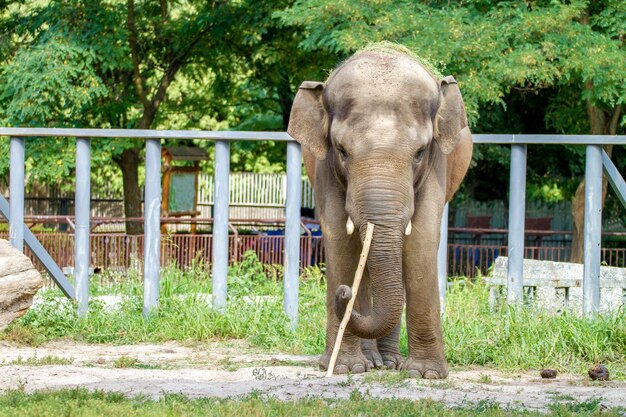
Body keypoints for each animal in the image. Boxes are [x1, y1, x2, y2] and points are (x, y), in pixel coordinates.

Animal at [286, 44, 470, 376]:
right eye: (342, 150)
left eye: (420, 152)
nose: (342, 292)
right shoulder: (325, 167)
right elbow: (339, 237)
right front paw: (345, 368)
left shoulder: (437, 164)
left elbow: (421, 239)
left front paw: (426, 374)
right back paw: (372, 362)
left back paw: (391, 362)